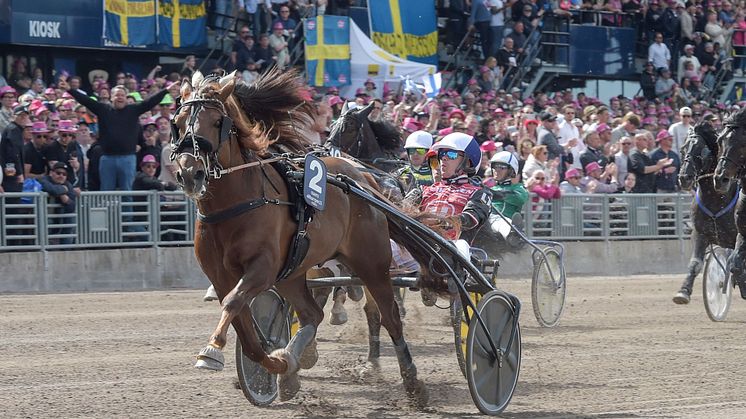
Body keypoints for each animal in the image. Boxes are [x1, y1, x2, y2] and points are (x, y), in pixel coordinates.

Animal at [169, 69, 424, 406]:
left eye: (216, 121)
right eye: (179, 121)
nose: (190, 173)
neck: (235, 203)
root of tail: (363, 177)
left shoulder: (262, 269)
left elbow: (234, 302)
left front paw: (212, 351)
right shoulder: (222, 275)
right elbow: (245, 327)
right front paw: (278, 364)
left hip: (372, 264)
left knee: (388, 315)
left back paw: (412, 382)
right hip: (293, 273)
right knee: (312, 313)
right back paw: (294, 363)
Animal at [676, 123, 740, 304]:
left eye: (702, 150)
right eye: (683, 148)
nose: (684, 177)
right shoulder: (701, 234)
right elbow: (695, 264)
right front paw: (683, 292)